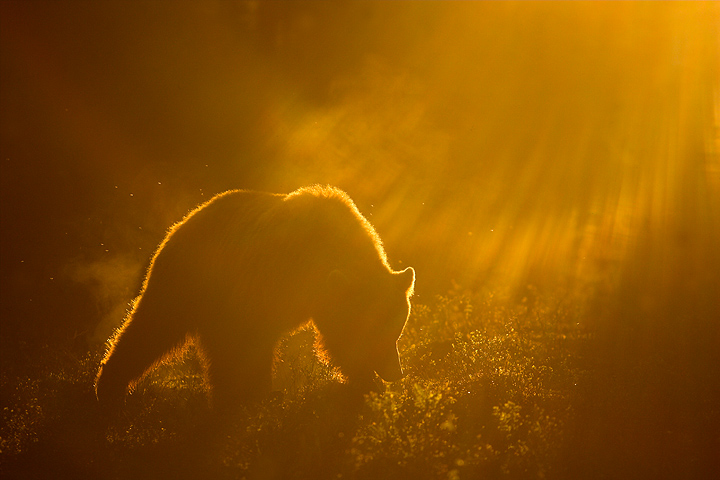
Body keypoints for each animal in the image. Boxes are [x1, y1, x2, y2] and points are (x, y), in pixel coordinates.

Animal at [95, 185, 415, 410]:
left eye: (398, 329)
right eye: (377, 332)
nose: (396, 372)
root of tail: (184, 220)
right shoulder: (271, 284)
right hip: (189, 281)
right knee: (152, 327)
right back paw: (111, 388)